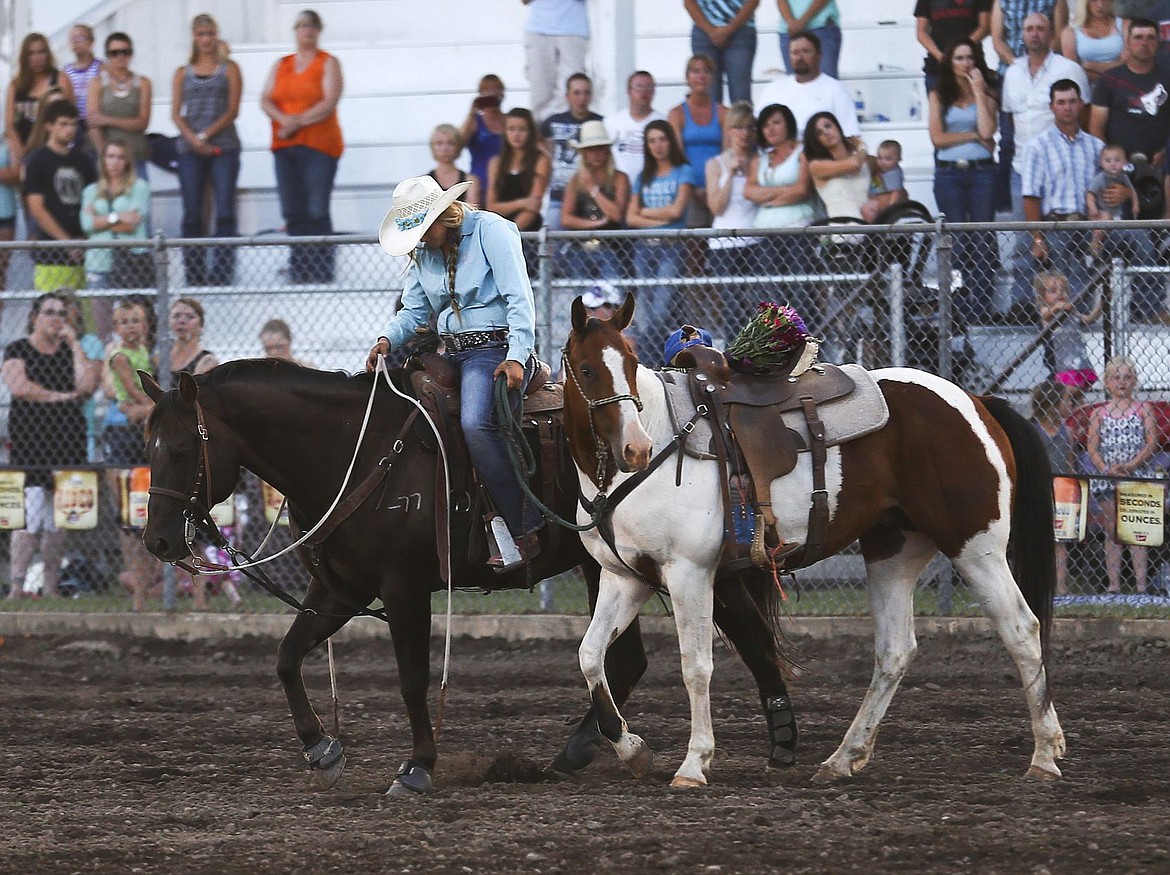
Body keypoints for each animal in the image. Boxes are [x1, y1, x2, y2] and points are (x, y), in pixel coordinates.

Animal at [136, 357, 795, 795]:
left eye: (179, 449)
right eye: (149, 445)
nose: (159, 541)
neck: (357, 450)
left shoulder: (403, 589)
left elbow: (412, 680)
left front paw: (418, 767)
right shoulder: (340, 589)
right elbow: (286, 657)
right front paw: (321, 749)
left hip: (687, 566)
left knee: (747, 638)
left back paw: (776, 743)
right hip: (605, 567)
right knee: (629, 659)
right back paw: (581, 751)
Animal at [561, 297, 1067, 790]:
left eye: (630, 362)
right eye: (586, 369)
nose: (636, 448)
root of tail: (976, 401)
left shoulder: (690, 573)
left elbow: (695, 666)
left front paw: (694, 764)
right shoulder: (626, 578)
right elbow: (590, 656)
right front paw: (632, 749)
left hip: (976, 546)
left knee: (1022, 630)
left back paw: (1044, 756)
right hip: (894, 549)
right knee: (895, 649)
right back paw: (843, 758)